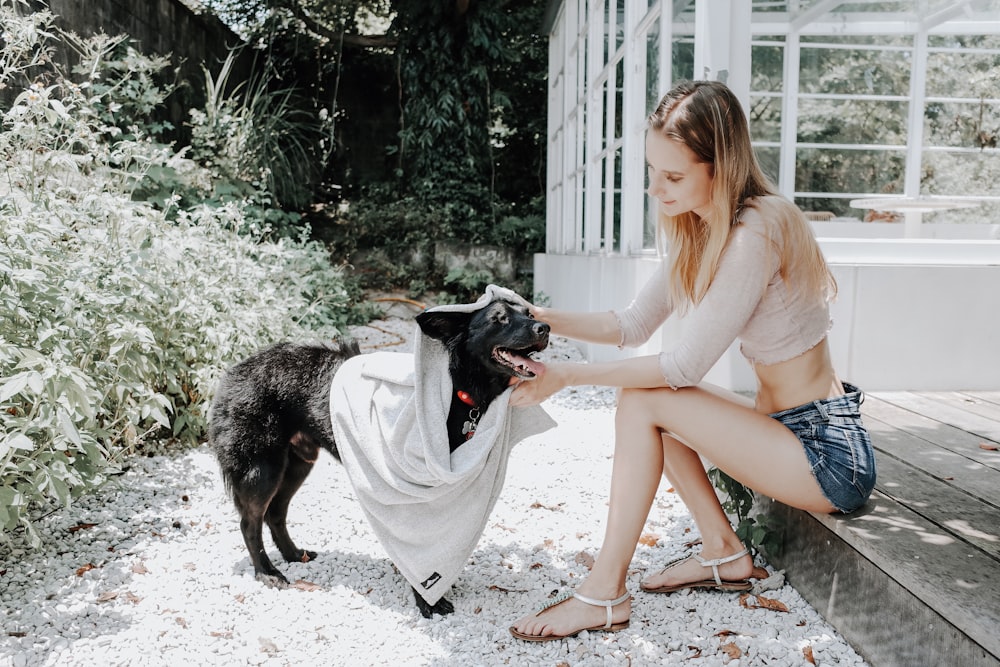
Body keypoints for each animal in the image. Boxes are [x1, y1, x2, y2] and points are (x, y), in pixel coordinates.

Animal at [211, 300, 552, 620]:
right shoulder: (414, 489)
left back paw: (294, 555)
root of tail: (231, 374)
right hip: (262, 469)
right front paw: (427, 601)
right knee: (250, 522)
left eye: (529, 313)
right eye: (499, 319)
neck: (460, 389)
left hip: (297, 464)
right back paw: (267, 572)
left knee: (275, 514)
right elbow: (417, 550)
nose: (545, 328)